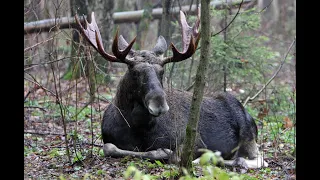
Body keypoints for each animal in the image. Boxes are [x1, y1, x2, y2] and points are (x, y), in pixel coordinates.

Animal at [75, 10, 268, 169]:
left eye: (162, 71)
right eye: (135, 72)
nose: (159, 105)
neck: (136, 127)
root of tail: (250, 116)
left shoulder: (195, 141)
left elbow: (172, 155)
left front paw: (163, 152)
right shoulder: (109, 139)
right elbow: (109, 148)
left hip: (248, 136)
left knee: (258, 159)